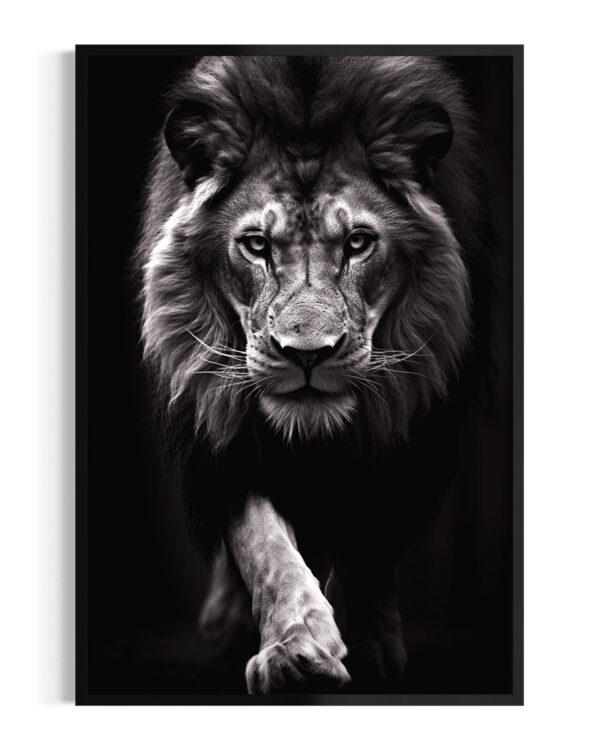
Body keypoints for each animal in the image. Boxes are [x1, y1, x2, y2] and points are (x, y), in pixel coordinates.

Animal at [137, 55, 489, 693]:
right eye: (256, 245)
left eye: (358, 242)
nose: (307, 354)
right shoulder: (226, 431)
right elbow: (263, 543)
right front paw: (295, 648)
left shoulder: (407, 429)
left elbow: (371, 541)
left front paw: (371, 642)